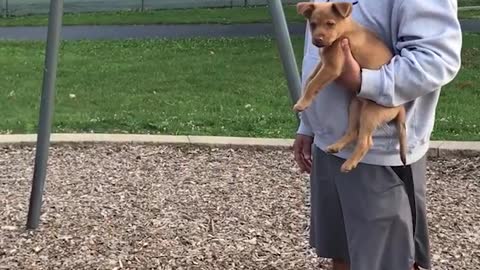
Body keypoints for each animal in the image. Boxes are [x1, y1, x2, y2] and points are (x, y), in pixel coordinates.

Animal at [294, 1, 406, 172]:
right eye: (312, 24)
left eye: (330, 24)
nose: (318, 40)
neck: (344, 31)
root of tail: (400, 107)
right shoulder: (324, 62)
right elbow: (311, 78)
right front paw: (303, 97)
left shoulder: (332, 67)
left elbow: (314, 83)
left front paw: (302, 103)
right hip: (355, 106)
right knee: (353, 132)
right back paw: (336, 146)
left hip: (370, 113)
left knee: (366, 141)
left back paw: (349, 163)